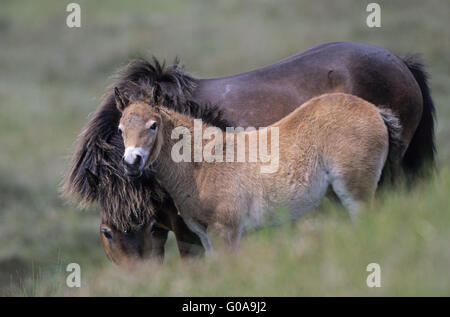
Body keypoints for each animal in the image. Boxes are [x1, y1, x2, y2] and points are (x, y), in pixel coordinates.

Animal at [117, 91, 404, 249]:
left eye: (153, 125)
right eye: (120, 129)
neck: (203, 165)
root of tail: (375, 110)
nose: (132, 162)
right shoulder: (207, 236)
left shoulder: (226, 232)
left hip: (356, 192)